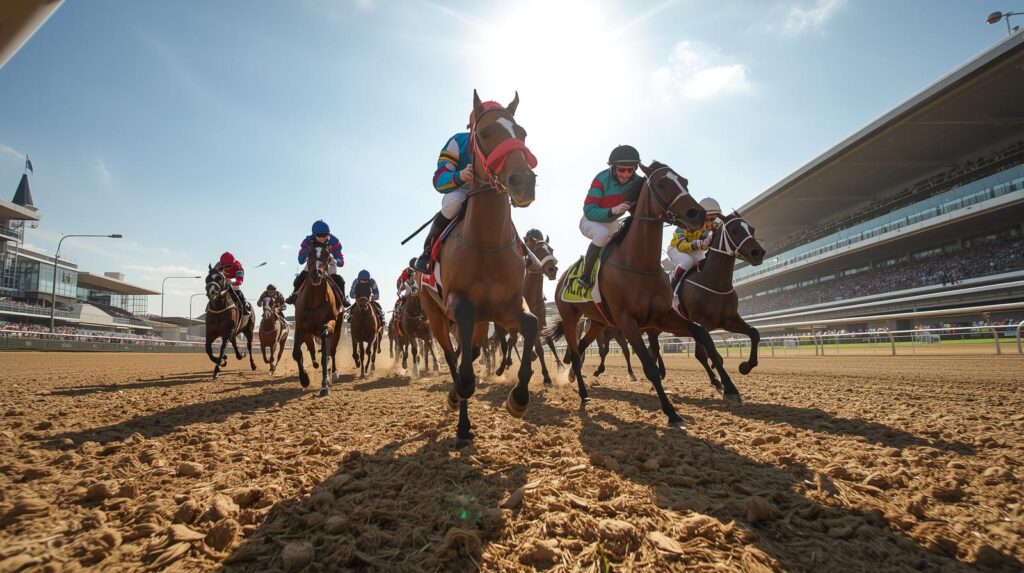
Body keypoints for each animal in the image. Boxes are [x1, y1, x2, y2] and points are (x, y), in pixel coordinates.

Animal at [292, 244, 342, 396]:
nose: (316, 274)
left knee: (332, 351)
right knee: (313, 350)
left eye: (327, 254)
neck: (313, 299)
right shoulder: (300, 328)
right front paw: (304, 379)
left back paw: (334, 373)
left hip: (337, 330)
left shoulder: (328, 325)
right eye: (309, 253)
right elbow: (296, 353)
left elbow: (326, 353)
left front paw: (324, 385)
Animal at [418, 90, 539, 448]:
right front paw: (457, 402)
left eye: (522, 133)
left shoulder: (507, 308)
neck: (487, 243)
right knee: (452, 357)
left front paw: (519, 398)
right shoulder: (459, 306)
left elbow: (531, 325)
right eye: (485, 134)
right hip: (435, 316)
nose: (523, 181)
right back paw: (460, 418)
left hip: (482, 324)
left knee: (467, 354)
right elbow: (465, 377)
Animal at [554, 160, 737, 428]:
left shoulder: (661, 317)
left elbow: (701, 332)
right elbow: (650, 367)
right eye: (662, 183)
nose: (697, 214)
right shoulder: (627, 322)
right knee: (577, 354)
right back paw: (584, 394)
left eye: (685, 181)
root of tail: (562, 277)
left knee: (580, 346)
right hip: (570, 317)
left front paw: (730, 387)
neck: (639, 264)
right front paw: (671, 413)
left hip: (598, 323)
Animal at [675, 212, 766, 391]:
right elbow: (707, 352)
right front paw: (725, 381)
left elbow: (754, 333)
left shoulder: (728, 320)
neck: (713, 283)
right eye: (733, 230)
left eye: (751, 229)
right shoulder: (700, 323)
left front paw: (745, 366)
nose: (757, 252)